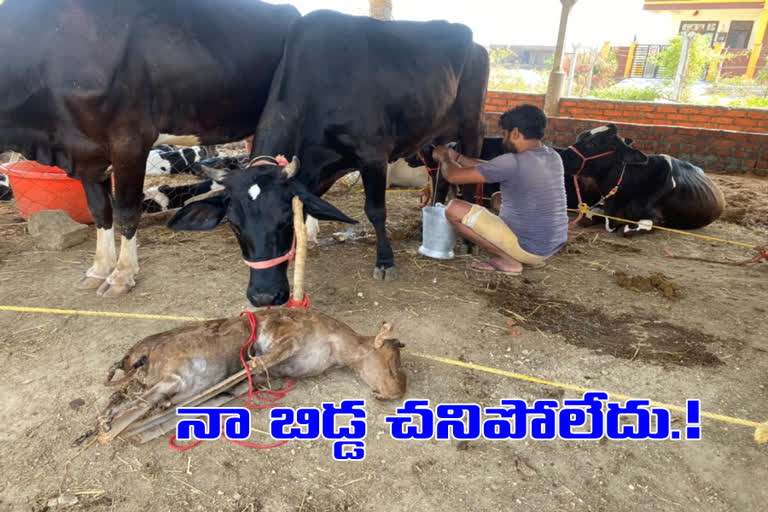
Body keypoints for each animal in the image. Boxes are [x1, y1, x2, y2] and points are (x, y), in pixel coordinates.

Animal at [0, 0, 300, 296]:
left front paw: (122, 275)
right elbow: (100, 210)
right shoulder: (87, 151)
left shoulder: (129, 141)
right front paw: (99, 269)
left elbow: (126, 210)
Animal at [78, 308, 408, 444]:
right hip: (172, 377)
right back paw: (109, 430)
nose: (393, 392)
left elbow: (237, 385)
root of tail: (133, 357)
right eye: (393, 363)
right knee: (135, 408)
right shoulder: (286, 340)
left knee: (126, 400)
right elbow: (255, 363)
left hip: (160, 383)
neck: (337, 346)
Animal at [560, 125, 724, 233]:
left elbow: (627, 229)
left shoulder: (656, 219)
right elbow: (587, 215)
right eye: (579, 137)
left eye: (593, 143)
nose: (561, 154)